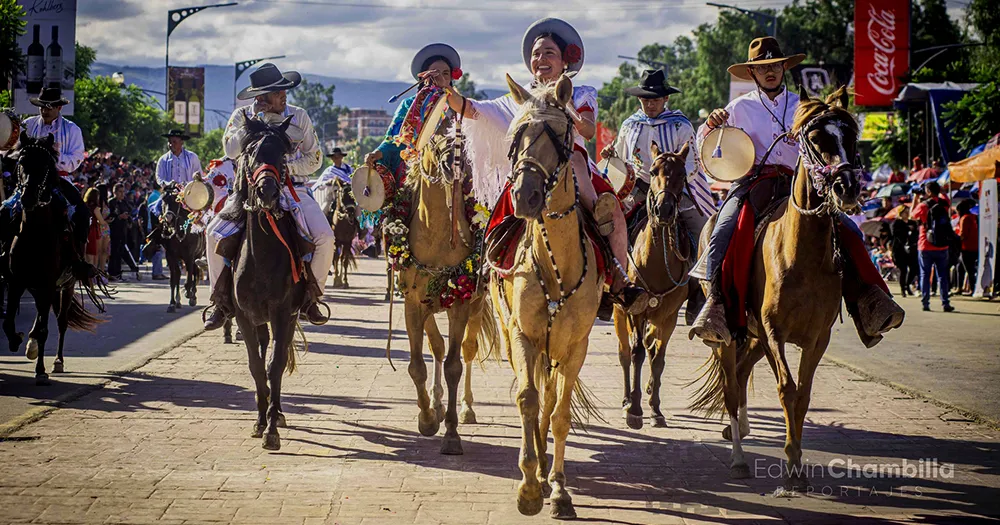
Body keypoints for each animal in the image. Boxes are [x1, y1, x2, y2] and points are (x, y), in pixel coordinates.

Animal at [0, 133, 103, 382]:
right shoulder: (15, 282)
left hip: (65, 286)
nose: (27, 198)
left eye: (46, 165)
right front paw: (17, 340)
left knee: (60, 321)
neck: (34, 234)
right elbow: (8, 322)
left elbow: (45, 329)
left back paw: (57, 361)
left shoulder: (47, 285)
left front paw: (40, 371)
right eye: (21, 162)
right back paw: (31, 345)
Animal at [612, 140, 692, 430]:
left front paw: (655, 409)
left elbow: (658, 358)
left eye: (682, 173)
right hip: (620, 311)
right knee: (625, 353)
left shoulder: (669, 315)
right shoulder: (636, 311)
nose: (664, 210)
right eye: (654, 170)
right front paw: (634, 409)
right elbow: (636, 354)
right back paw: (626, 398)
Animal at [692, 87, 896, 492]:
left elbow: (802, 396)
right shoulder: (775, 333)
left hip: (752, 335)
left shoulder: (817, 337)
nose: (847, 187)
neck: (801, 254)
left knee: (741, 373)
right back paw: (738, 458)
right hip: (731, 334)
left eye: (851, 135)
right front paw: (790, 470)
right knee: (730, 385)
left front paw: (798, 467)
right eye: (816, 138)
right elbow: (786, 390)